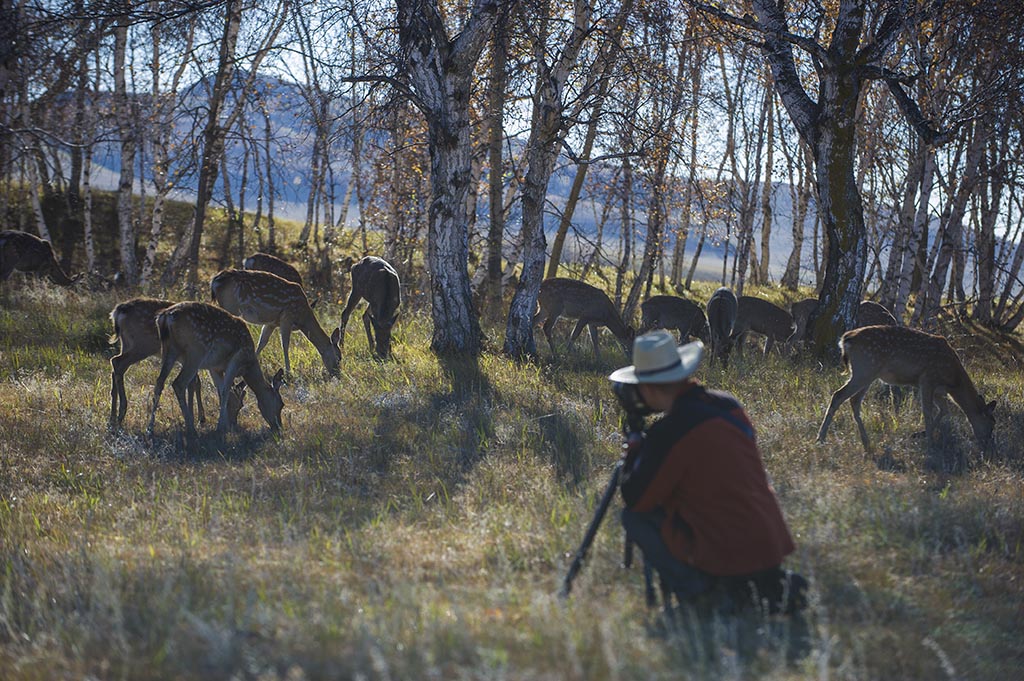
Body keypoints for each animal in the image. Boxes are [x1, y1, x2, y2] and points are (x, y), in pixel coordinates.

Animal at [108, 296, 245, 430]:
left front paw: (195, 417)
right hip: (142, 345)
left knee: (115, 364)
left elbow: (194, 383)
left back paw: (113, 417)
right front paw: (199, 419)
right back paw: (121, 412)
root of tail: (118, 311)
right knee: (118, 362)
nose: (234, 424)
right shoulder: (194, 357)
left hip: (126, 344)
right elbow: (195, 383)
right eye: (239, 404)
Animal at [147, 301, 284, 438]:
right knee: (178, 383)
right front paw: (221, 427)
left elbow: (220, 390)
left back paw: (150, 429)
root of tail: (165, 317)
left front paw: (224, 425)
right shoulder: (236, 359)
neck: (248, 365)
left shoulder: (215, 367)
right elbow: (225, 391)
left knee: (159, 382)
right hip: (196, 351)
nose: (279, 427)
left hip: (168, 350)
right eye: (281, 404)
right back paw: (191, 429)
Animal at [209, 266, 342, 376]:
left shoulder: (271, 323)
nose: (337, 375)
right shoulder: (287, 316)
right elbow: (285, 344)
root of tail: (214, 282)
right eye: (339, 358)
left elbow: (262, 342)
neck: (302, 317)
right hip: (230, 305)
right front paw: (288, 373)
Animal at [815, 325, 991, 454]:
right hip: (865, 368)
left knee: (854, 400)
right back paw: (820, 438)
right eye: (991, 424)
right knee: (838, 395)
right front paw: (930, 443)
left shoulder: (937, 390)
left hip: (867, 373)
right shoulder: (927, 379)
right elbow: (927, 411)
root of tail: (846, 339)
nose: (989, 445)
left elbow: (944, 410)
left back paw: (866, 442)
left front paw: (919, 435)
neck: (953, 380)